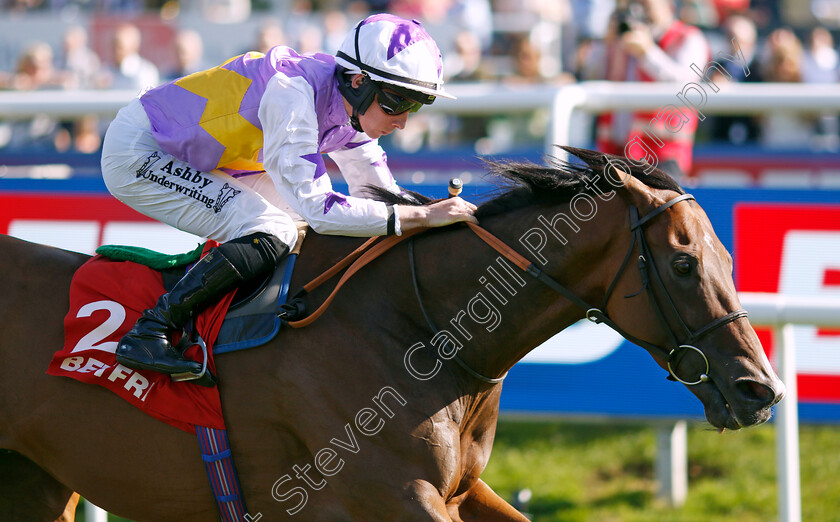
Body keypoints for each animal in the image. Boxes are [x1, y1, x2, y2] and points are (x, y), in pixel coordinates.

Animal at [1, 147, 788, 520]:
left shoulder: (460, 492)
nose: (762, 389)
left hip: (37, 482)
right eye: (684, 264)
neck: (421, 331)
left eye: (725, 259)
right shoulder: (381, 496)